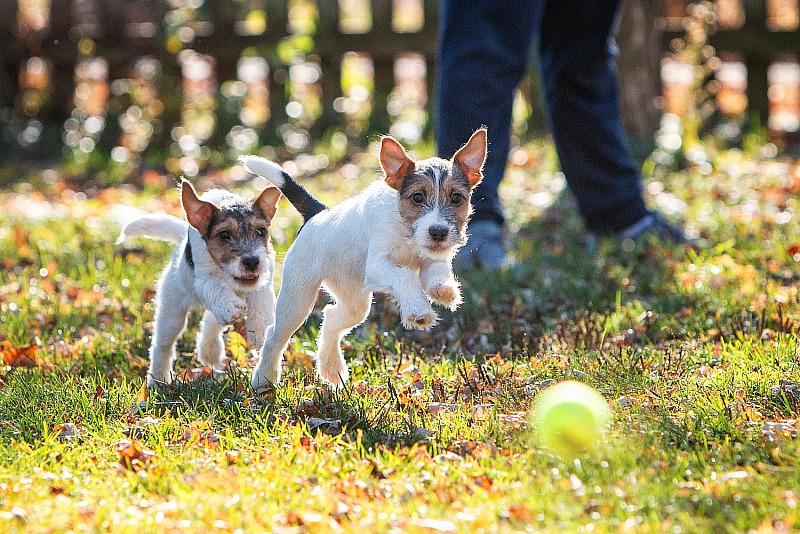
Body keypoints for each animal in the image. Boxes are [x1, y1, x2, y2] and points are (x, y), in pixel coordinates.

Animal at [119, 182, 282, 388]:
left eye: (261, 231)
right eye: (224, 234)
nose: (252, 261)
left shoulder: (266, 271)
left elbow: (261, 294)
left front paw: (260, 328)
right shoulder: (203, 277)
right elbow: (214, 285)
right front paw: (231, 308)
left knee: (211, 321)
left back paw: (210, 350)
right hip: (172, 311)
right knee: (162, 345)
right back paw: (158, 380)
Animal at [239, 127, 488, 392]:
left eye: (457, 198)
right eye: (418, 198)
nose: (438, 232)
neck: (406, 231)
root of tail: (316, 214)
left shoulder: (431, 258)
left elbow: (437, 269)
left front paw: (443, 290)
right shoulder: (378, 266)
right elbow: (404, 275)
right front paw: (418, 309)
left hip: (355, 303)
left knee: (330, 316)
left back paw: (331, 368)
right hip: (297, 298)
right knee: (275, 334)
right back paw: (264, 378)